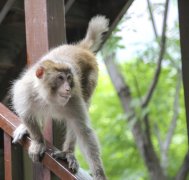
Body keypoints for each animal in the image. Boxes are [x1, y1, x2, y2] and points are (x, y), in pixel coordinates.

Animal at [11, 15, 108, 180]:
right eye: (60, 78)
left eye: (69, 78)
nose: (68, 88)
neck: (47, 96)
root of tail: (80, 48)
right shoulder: (25, 92)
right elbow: (26, 113)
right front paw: (38, 142)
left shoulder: (74, 99)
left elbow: (83, 130)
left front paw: (99, 174)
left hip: (90, 79)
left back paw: (68, 152)